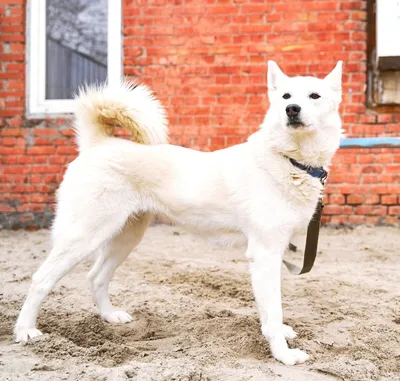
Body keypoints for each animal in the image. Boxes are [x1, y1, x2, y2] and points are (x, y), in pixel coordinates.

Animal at [14, 61, 342, 366]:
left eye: (314, 96)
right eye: (286, 96)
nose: (291, 109)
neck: (289, 160)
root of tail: (99, 143)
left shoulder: (272, 254)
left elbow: (270, 309)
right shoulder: (264, 254)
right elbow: (272, 311)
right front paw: (283, 355)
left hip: (125, 237)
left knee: (96, 276)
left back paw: (110, 317)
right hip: (84, 236)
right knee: (41, 279)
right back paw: (25, 331)